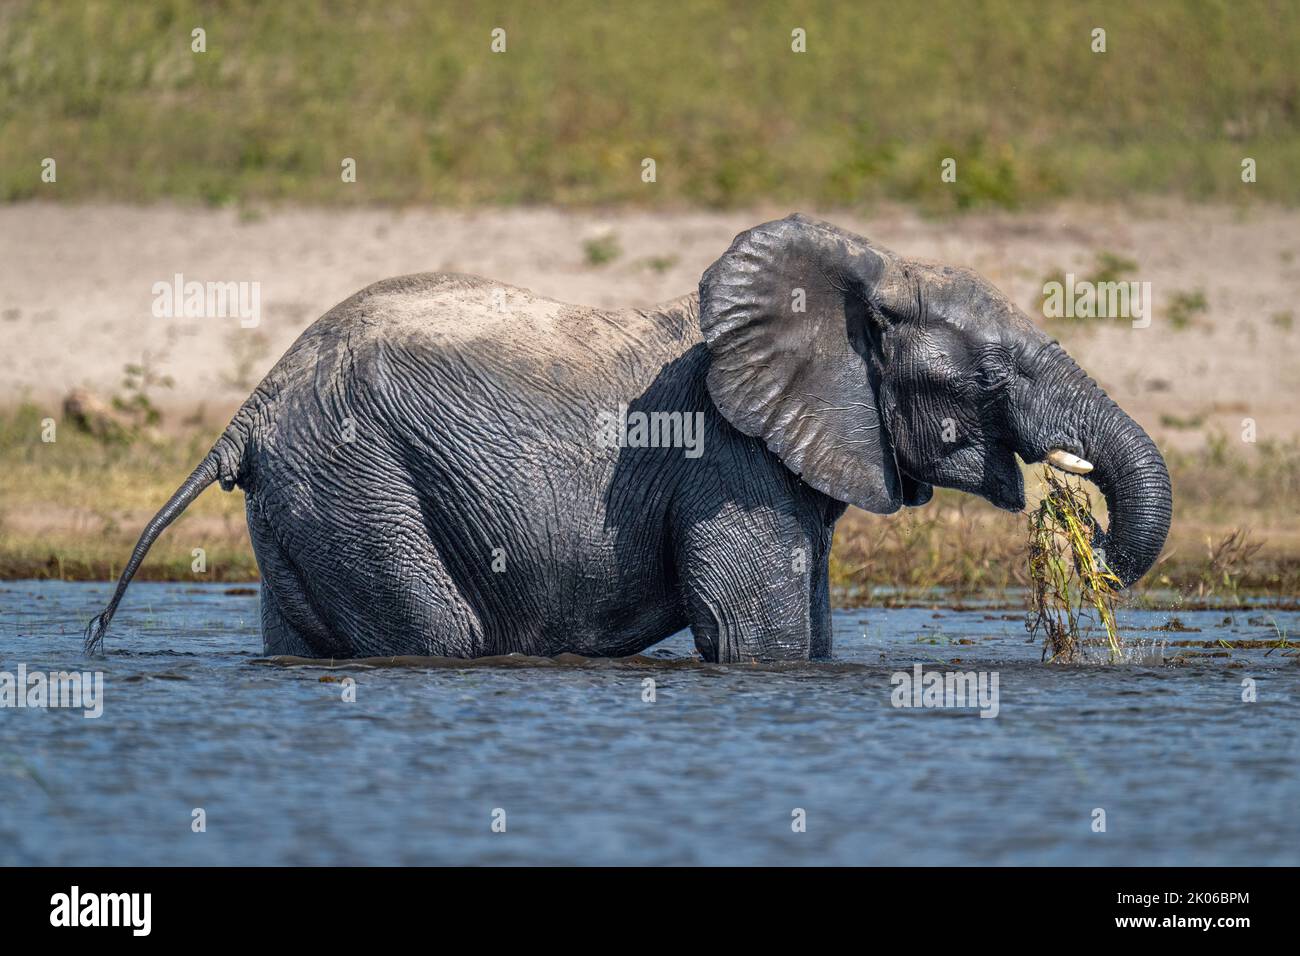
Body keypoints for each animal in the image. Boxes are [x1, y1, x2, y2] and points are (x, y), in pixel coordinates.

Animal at [85, 214, 1172, 663]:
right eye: (983, 377)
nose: (1090, 540)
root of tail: (253, 407)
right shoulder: (730, 461)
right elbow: (758, 633)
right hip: (359, 479)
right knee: (437, 635)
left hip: (308, 501)